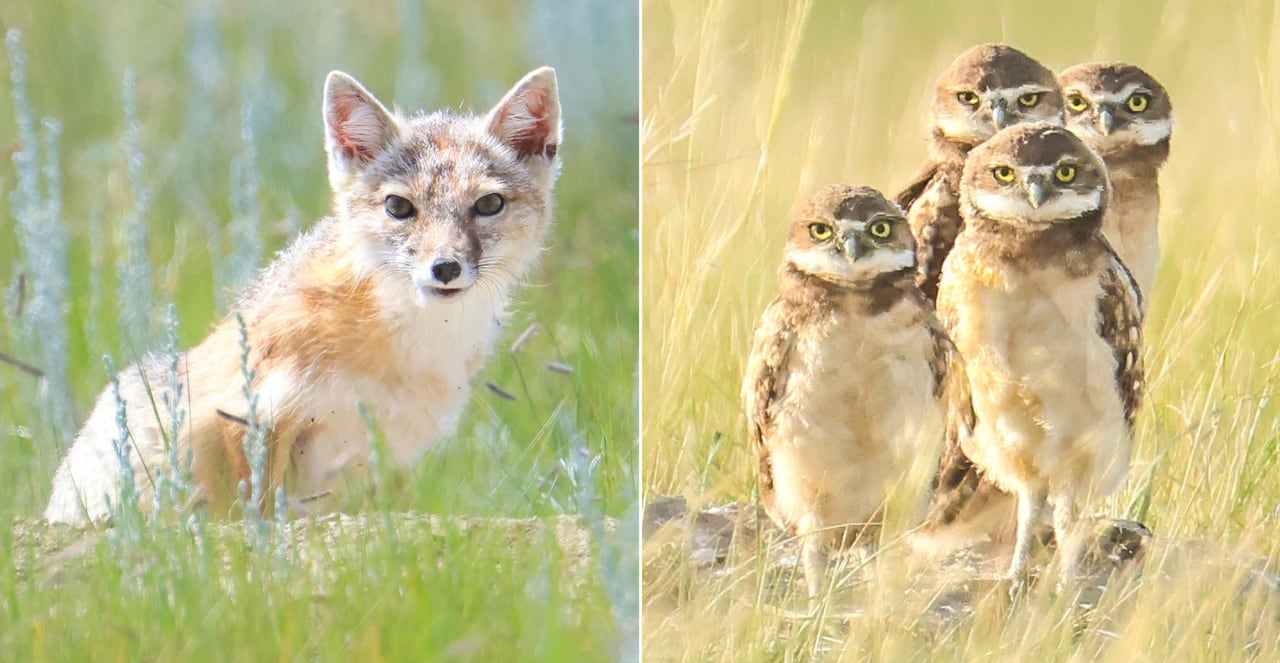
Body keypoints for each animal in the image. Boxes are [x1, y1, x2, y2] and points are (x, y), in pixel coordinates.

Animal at [44, 67, 562, 524]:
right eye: (399, 207)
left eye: (488, 204)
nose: (446, 267)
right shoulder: (244, 415)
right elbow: (258, 513)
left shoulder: (385, 456)